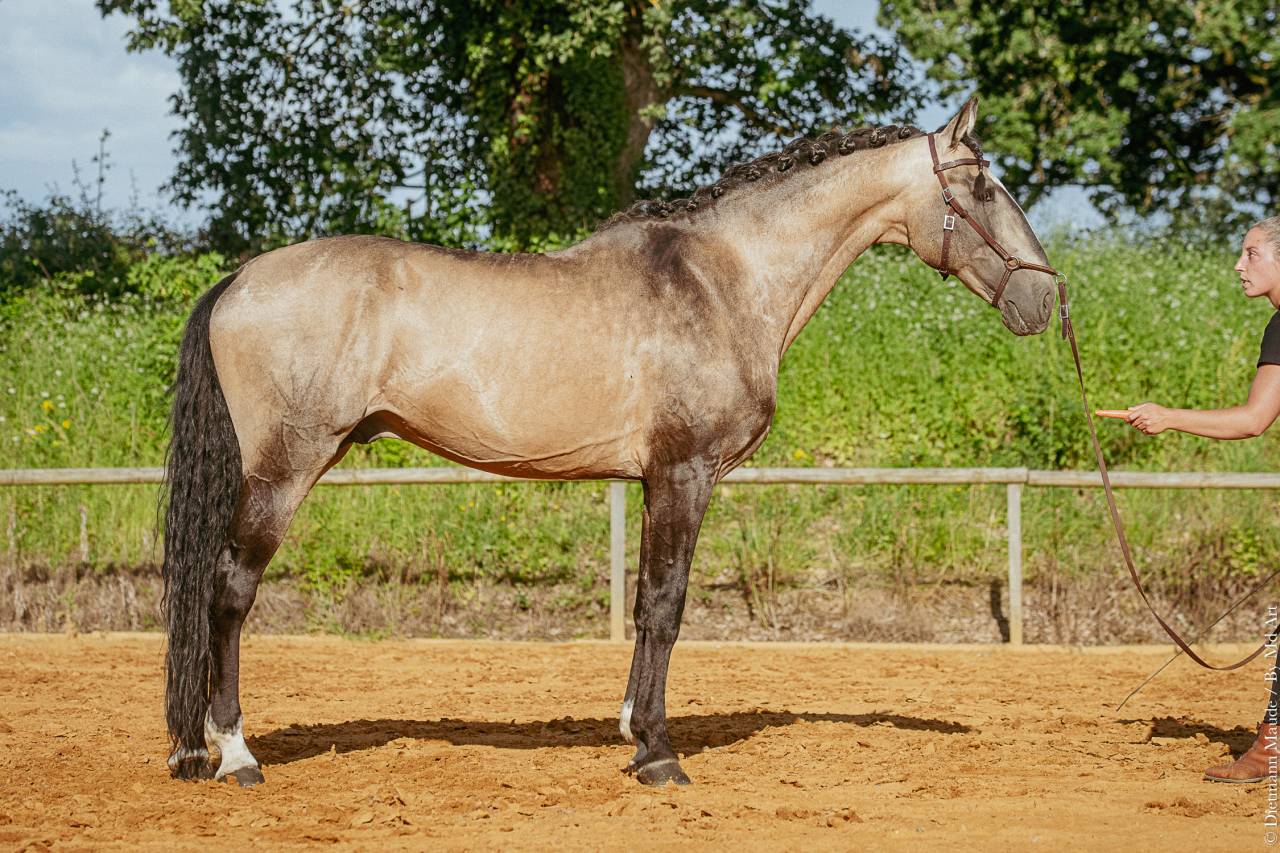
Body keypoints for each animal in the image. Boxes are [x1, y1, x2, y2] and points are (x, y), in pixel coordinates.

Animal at [161, 97, 1057, 787]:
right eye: (981, 185)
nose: (1046, 300)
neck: (726, 277)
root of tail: (239, 279)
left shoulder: (656, 480)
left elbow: (642, 603)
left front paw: (632, 726)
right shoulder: (686, 472)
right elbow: (666, 604)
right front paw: (658, 753)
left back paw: (194, 748)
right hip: (284, 470)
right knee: (229, 590)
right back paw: (235, 753)